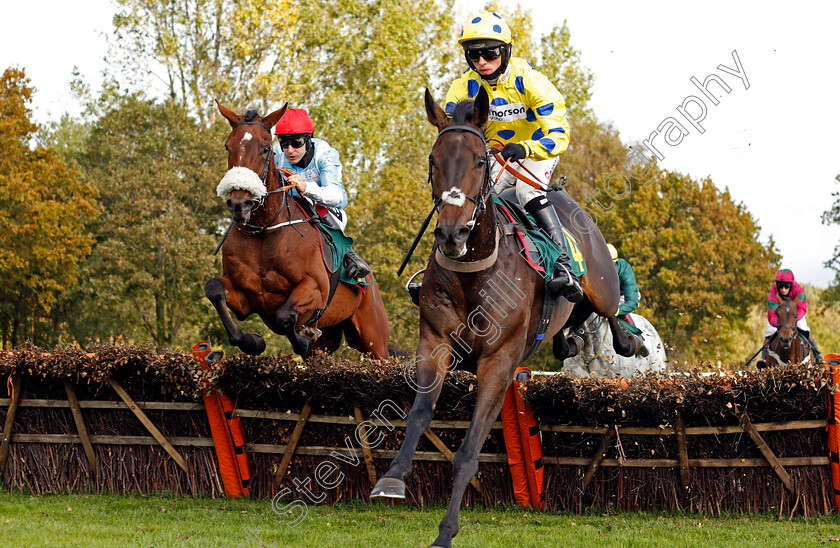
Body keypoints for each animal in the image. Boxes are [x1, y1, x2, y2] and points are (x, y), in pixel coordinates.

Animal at [208, 103, 396, 360]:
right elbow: (214, 289)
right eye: (229, 146)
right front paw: (252, 341)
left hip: (374, 339)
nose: (239, 204)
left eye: (265, 149)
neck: (265, 231)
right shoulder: (245, 296)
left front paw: (301, 338)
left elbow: (284, 317)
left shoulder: (315, 289)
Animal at [370, 88, 644, 544]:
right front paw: (392, 478)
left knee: (611, 312)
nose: (452, 233)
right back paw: (568, 338)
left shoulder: (498, 363)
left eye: (480, 161)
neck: (474, 272)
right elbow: (419, 414)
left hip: (601, 284)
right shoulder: (434, 344)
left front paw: (445, 532)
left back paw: (630, 338)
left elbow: (468, 451)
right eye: (433, 160)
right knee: (574, 324)